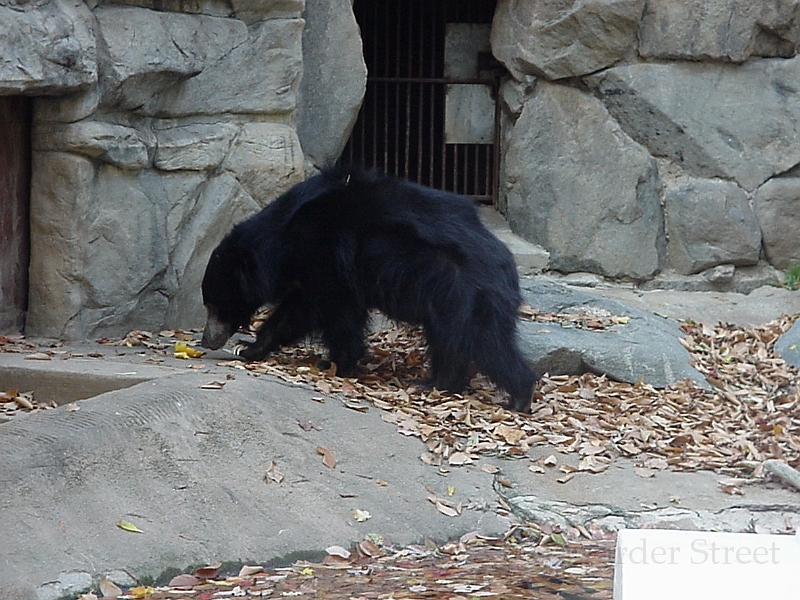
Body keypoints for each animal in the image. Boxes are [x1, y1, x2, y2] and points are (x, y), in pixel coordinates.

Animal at [200, 169, 536, 412]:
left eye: (213, 306)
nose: (206, 340)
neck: (282, 241)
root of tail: (506, 263)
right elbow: (299, 310)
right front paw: (251, 347)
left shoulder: (326, 255)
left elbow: (330, 311)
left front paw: (335, 363)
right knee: (456, 340)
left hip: (459, 287)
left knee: (482, 342)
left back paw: (507, 393)